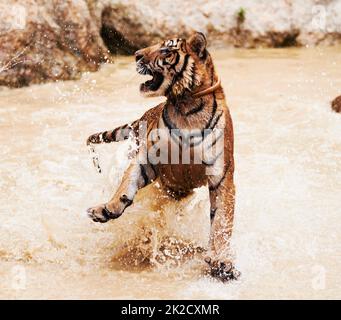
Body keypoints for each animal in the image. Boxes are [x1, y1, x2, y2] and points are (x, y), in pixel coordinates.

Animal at [85, 32, 239, 282]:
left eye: (166, 50)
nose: (136, 54)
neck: (186, 106)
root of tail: (144, 114)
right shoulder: (146, 160)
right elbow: (126, 185)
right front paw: (107, 209)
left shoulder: (221, 176)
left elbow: (222, 222)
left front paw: (222, 262)